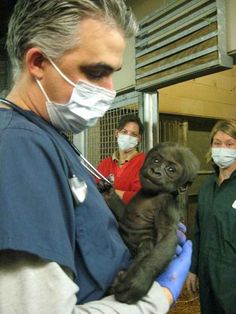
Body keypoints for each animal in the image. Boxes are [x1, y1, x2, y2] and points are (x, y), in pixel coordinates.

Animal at [97, 142, 199, 304]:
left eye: (171, 170)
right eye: (156, 160)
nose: (156, 171)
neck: (151, 194)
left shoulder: (166, 203)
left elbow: (167, 237)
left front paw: (138, 281)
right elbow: (123, 214)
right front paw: (108, 193)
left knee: (146, 246)